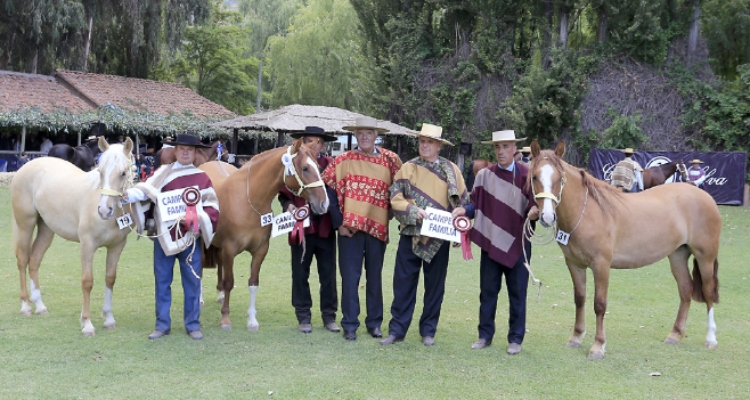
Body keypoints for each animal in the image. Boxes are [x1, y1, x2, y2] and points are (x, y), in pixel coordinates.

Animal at [11, 138, 137, 338]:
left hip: (46, 229)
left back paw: (40, 306)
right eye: (100, 171)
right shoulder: (87, 245)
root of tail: (27, 166)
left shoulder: (117, 246)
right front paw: (87, 324)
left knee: (34, 260)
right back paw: (25, 306)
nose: (104, 210)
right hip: (26, 224)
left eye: (123, 173)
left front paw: (109, 319)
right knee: (23, 260)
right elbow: (87, 282)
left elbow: (110, 278)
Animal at [203, 139, 328, 330]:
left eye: (319, 168)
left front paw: (252, 321)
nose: (324, 203)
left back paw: (220, 295)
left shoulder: (260, 250)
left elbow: (253, 283)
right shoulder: (229, 249)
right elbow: (230, 282)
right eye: (305, 168)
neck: (249, 201)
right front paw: (225, 319)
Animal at [528, 140, 724, 360]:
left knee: (708, 292)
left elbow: (599, 304)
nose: (546, 217)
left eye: (559, 178)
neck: (588, 212)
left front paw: (598, 346)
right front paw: (576, 337)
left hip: (705, 257)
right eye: (534, 176)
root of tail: (703, 195)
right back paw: (674, 335)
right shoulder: (574, 264)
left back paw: (711, 338)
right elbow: (579, 299)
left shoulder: (601, 265)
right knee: (685, 290)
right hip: (678, 256)